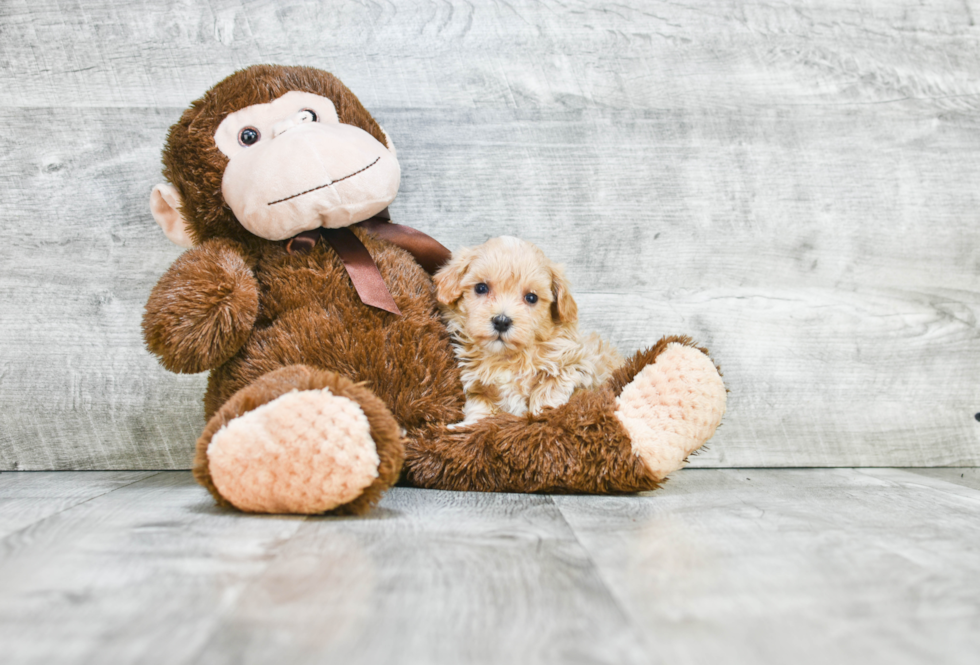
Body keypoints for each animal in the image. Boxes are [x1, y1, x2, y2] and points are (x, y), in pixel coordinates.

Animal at [434, 236, 624, 428]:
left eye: (531, 298)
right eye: (481, 288)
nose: (501, 321)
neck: (507, 359)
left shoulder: (576, 364)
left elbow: (548, 391)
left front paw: (540, 417)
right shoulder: (478, 387)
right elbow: (480, 411)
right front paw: (467, 426)